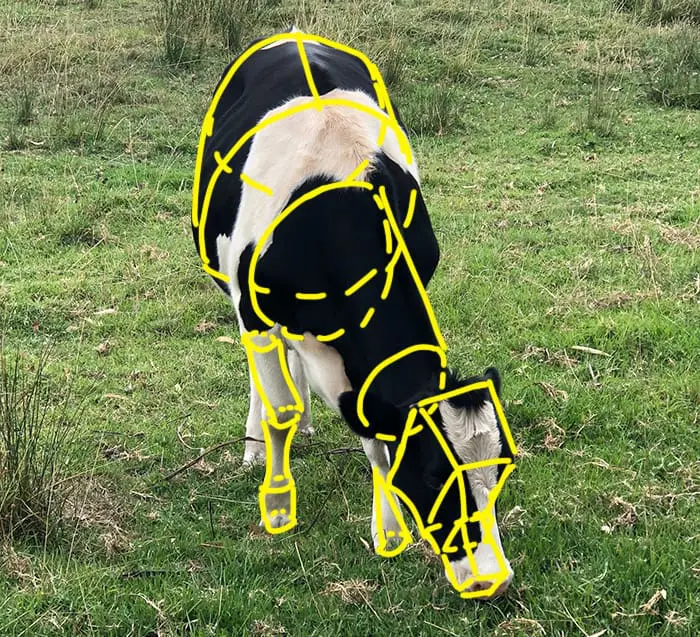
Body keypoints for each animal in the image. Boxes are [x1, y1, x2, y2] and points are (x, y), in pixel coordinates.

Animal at [191, 28, 517, 599]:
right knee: (263, 377)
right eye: (435, 476)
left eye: (498, 474)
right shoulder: (254, 311)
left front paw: (387, 527)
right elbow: (279, 410)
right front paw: (278, 503)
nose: (494, 582)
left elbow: (371, 429)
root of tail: (291, 33)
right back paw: (257, 443)